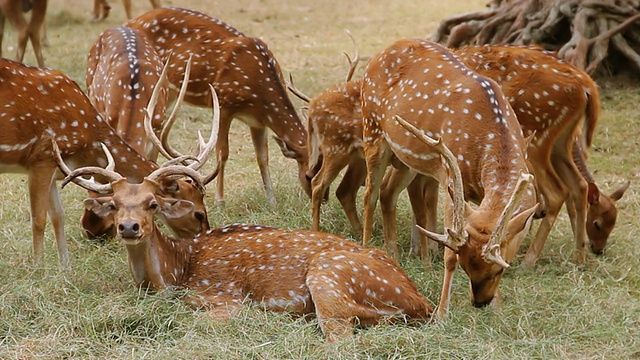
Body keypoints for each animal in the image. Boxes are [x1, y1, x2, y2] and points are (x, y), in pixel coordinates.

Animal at [0, 57, 215, 268]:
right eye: (198, 213)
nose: (203, 239)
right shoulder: (42, 155)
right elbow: (38, 219)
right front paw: (39, 269)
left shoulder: (55, 169)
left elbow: (58, 216)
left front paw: (65, 269)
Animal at [125, 7, 310, 205]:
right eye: (308, 174)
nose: (320, 199)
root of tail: (132, 21)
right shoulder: (223, 104)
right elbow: (222, 153)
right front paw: (219, 200)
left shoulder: (257, 121)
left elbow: (263, 157)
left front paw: (272, 201)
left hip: (171, 95)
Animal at [360, 38, 540, 318]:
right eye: (466, 267)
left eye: (500, 269)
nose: (480, 302)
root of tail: (382, 52)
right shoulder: (448, 173)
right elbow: (448, 253)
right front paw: (442, 312)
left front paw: (498, 308)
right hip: (372, 129)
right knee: (370, 193)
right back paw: (366, 249)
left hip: (406, 157)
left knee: (387, 192)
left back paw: (393, 257)